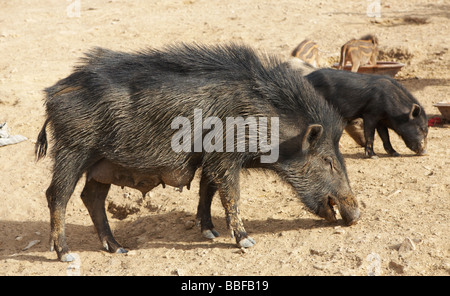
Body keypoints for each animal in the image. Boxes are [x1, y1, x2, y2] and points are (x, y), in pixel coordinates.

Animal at [34, 44, 358, 262]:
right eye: (328, 160)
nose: (356, 215)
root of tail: (52, 93)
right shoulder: (225, 156)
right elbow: (230, 195)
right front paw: (245, 241)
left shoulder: (210, 159)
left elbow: (207, 191)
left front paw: (209, 232)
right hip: (73, 150)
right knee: (57, 195)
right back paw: (65, 255)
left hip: (102, 165)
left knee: (91, 197)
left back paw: (118, 248)